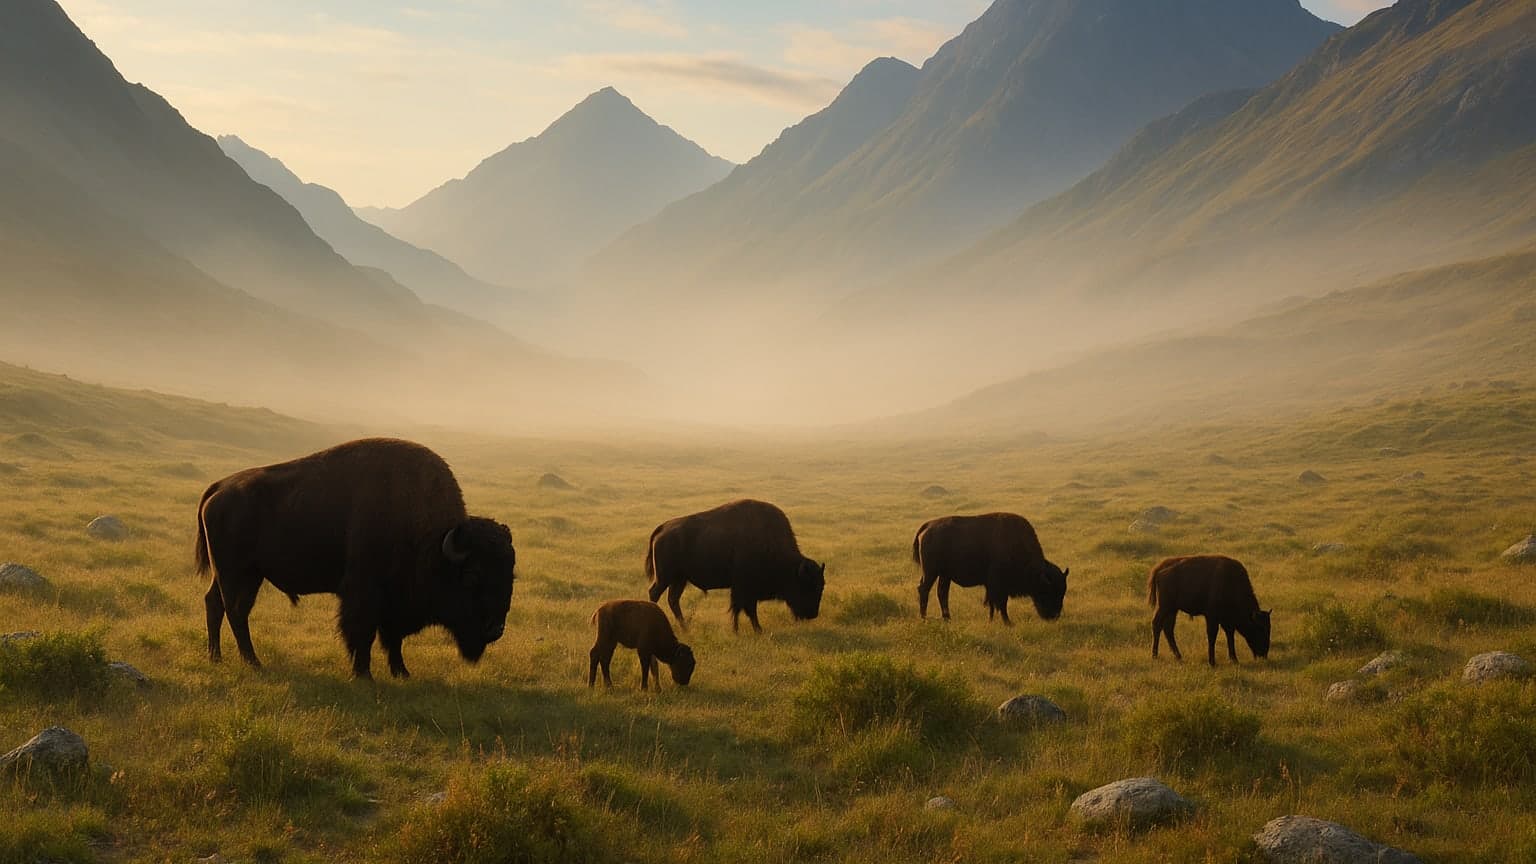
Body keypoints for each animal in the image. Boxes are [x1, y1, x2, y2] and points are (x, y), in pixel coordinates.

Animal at [194, 438, 516, 679]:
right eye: (472, 575)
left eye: (510, 573)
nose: (496, 629)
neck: (433, 541)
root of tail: (220, 487)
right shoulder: (365, 594)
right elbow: (364, 633)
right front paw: (363, 675)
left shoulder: (392, 603)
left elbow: (393, 638)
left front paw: (402, 673)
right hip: (236, 573)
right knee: (236, 611)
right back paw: (253, 662)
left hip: (243, 574)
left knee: (215, 604)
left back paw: (216, 658)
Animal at [645, 499, 825, 633]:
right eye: (806, 585)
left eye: (821, 586)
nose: (812, 614)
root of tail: (663, 528)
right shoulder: (744, 587)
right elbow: (744, 608)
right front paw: (748, 630)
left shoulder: (744, 589)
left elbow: (743, 609)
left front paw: (748, 629)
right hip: (665, 577)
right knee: (655, 593)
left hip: (679, 579)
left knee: (673, 600)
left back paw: (685, 628)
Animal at [913, 513, 1068, 625]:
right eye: (1048, 590)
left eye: (1062, 593)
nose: (1054, 616)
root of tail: (928, 525)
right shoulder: (999, 585)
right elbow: (1001, 604)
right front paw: (1008, 622)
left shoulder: (992, 586)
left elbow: (992, 603)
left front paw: (992, 620)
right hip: (931, 572)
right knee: (924, 589)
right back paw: (924, 618)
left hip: (944, 575)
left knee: (942, 593)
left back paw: (947, 618)